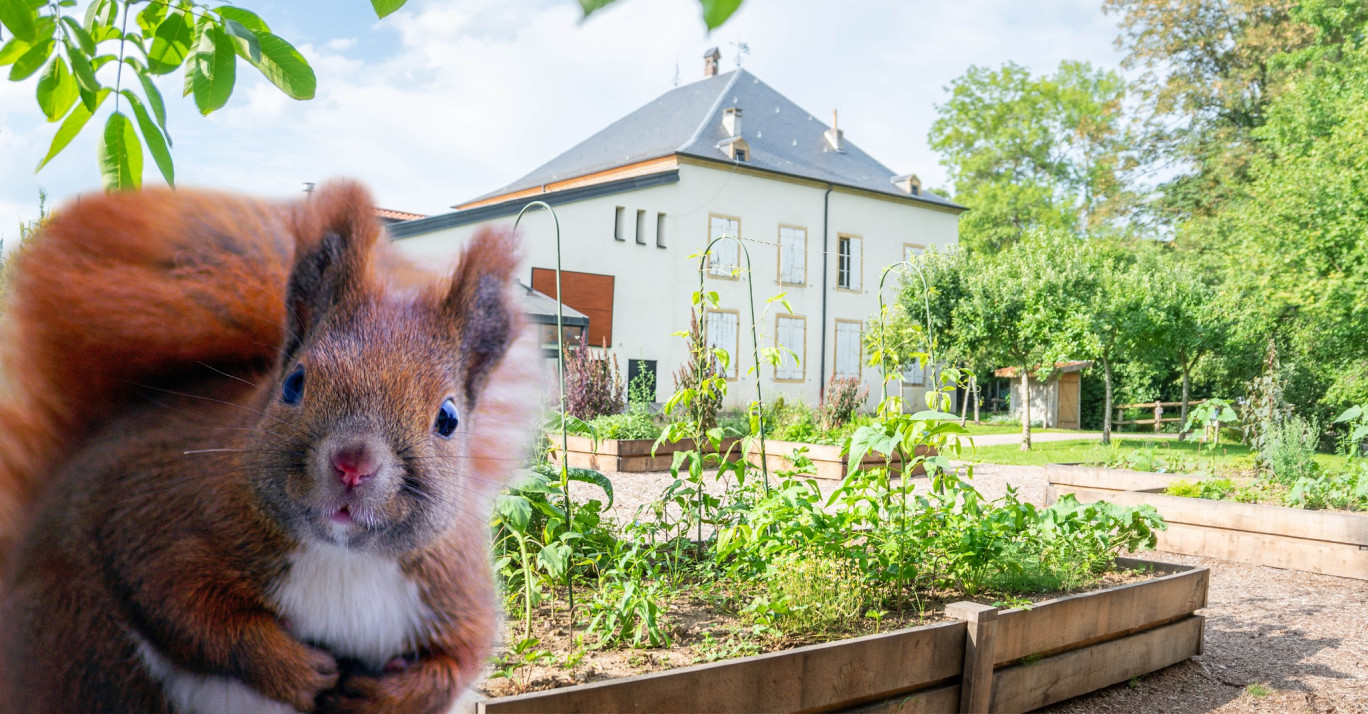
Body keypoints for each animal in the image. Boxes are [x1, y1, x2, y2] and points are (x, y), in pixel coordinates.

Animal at [0, 180, 541, 705]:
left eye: (448, 418)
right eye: (294, 383)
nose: (353, 465)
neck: (342, 557)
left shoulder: (457, 590)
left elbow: (458, 659)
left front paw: (384, 696)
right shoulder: (156, 519)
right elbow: (186, 611)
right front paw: (295, 670)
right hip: (86, 640)